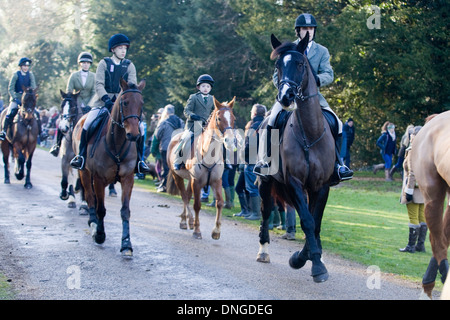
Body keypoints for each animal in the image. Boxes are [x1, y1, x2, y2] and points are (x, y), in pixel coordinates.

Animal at [73, 78, 145, 258]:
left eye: (141, 103)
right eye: (125, 102)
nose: (134, 135)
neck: (117, 143)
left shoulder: (128, 179)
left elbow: (125, 211)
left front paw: (126, 244)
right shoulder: (99, 179)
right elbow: (101, 209)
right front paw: (99, 234)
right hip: (84, 172)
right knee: (90, 197)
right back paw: (92, 223)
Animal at [165, 97, 236, 240]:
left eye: (234, 118)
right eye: (219, 118)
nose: (230, 141)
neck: (209, 154)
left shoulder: (216, 181)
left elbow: (220, 203)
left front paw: (216, 231)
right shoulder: (197, 182)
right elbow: (197, 205)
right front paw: (197, 231)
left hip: (190, 180)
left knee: (187, 196)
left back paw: (187, 220)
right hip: (178, 176)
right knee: (184, 197)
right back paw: (186, 221)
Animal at [255, 33, 336, 282]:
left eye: (301, 64)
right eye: (278, 66)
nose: (286, 96)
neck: (309, 134)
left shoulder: (321, 185)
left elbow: (315, 222)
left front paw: (312, 256)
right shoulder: (294, 182)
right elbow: (307, 221)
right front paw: (306, 261)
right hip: (265, 182)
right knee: (265, 211)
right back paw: (263, 251)